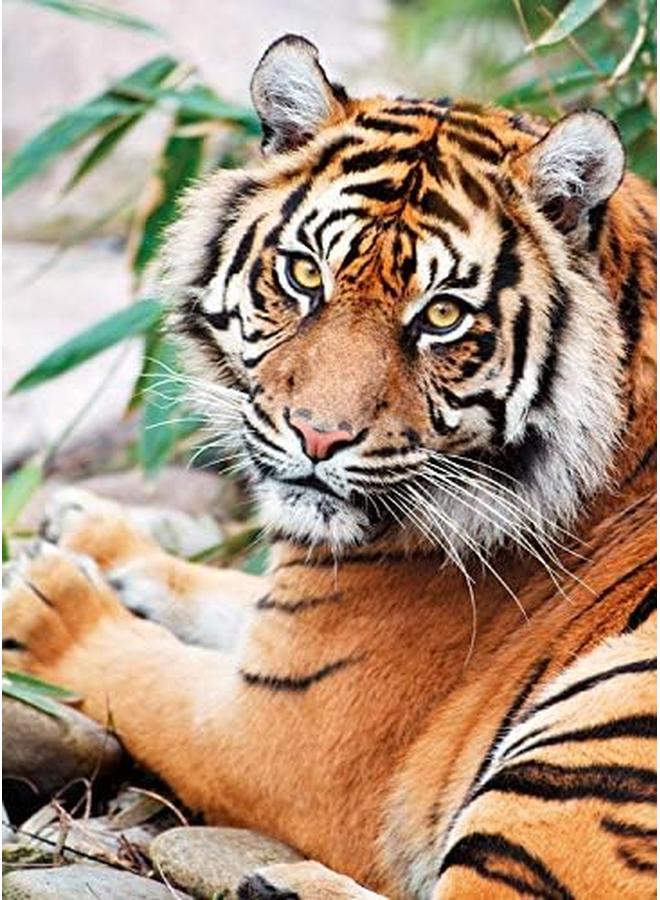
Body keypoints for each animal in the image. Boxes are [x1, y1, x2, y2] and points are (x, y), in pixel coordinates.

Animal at [3, 33, 656, 900]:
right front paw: (92, 533)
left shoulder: (280, 730)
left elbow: (145, 676)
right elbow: (225, 592)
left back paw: (282, 882)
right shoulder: (290, 631)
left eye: (441, 315)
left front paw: (49, 601)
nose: (317, 437)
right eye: (305, 274)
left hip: (601, 727)